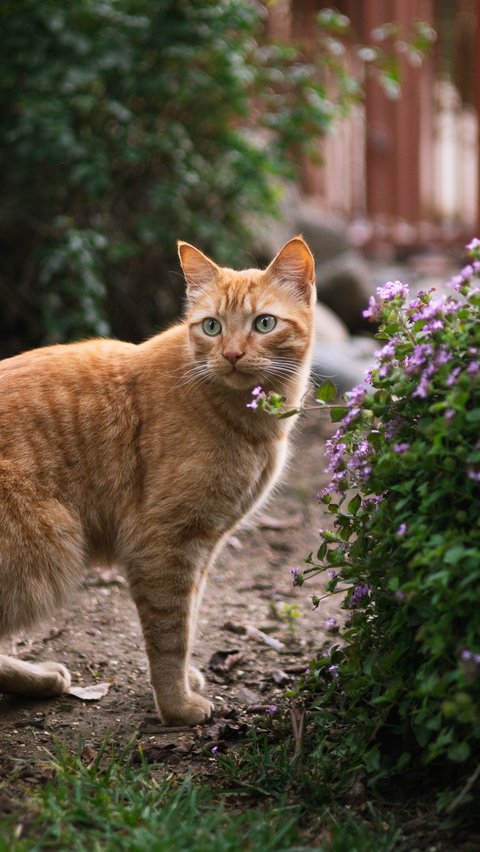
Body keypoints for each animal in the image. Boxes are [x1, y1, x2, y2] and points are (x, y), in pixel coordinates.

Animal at [0, 236, 316, 724]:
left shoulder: (203, 545)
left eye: (264, 323)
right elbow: (171, 635)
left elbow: (190, 616)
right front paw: (177, 705)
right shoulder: (164, 542)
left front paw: (186, 684)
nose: (231, 354)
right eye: (211, 327)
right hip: (45, 551)